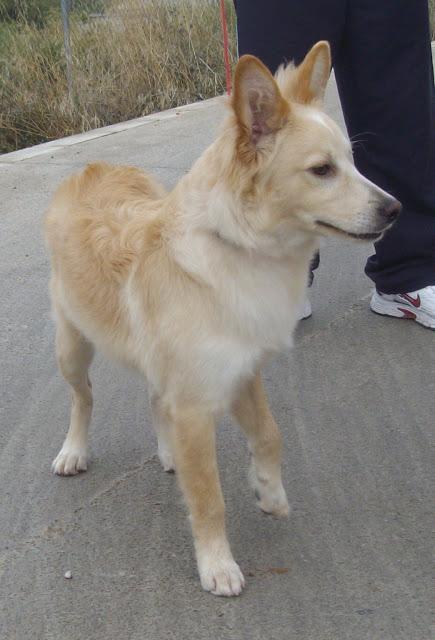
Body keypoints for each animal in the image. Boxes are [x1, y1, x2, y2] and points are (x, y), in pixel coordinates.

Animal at [46, 42, 400, 596]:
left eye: (351, 161)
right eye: (322, 170)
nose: (396, 209)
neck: (238, 245)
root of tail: (92, 168)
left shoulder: (241, 371)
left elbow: (271, 434)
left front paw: (269, 491)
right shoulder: (196, 406)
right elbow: (209, 497)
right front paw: (217, 564)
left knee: (155, 397)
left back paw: (168, 451)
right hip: (72, 348)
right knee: (83, 399)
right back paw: (74, 451)